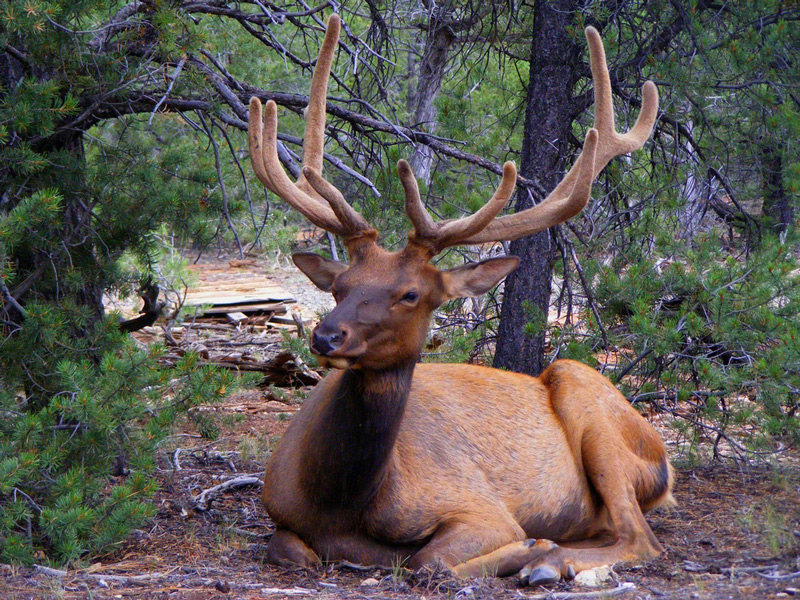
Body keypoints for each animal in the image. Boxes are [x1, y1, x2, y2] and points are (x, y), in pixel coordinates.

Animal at [247, 14, 672, 584]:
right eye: (339, 286)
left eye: (410, 294)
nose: (327, 335)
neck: (340, 501)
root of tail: (665, 459)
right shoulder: (278, 509)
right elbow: (290, 549)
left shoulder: (479, 506)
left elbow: (429, 560)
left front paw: (528, 547)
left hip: (590, 401)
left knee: (641, 538)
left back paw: (548, 559)